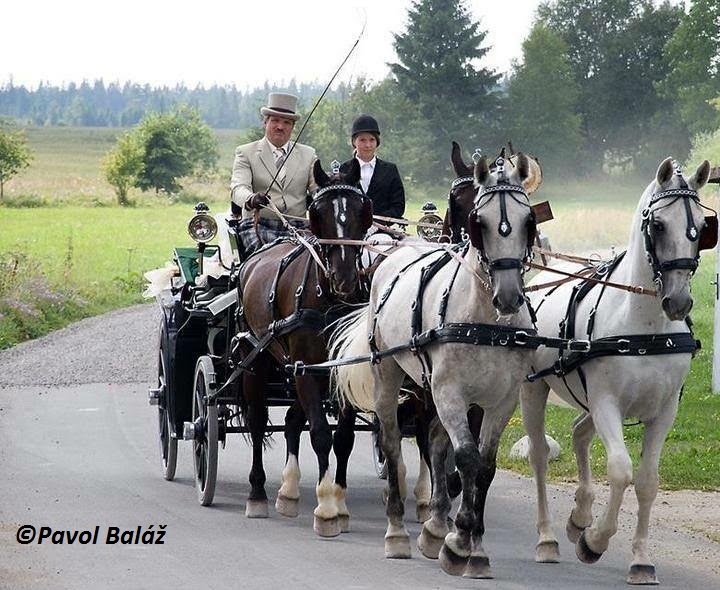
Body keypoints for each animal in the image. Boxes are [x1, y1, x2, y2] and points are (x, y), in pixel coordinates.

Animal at [236, 160, 372, 540]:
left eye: (363, 210)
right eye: (317, 213)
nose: (344, 279)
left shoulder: (341, 369)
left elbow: (343, 438)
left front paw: (340, 504)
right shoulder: (305, 369)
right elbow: (322, 434)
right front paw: (326, 509)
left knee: (293, 421)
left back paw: (288, 491)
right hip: (257, 358)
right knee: (257, 421)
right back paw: (257, 494)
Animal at [330, 154, 536, 584]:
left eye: (529, 221)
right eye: (479, 221)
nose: (508, 297)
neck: (485, 320)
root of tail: (392, 251)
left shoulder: (501, 400)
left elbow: (483, 466)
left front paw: (472, 545)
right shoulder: (450, 392)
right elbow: (467, 458)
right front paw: (459, 544)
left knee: (435, 443)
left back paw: (434, 523)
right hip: (390, 375)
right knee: (392, 441)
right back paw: (396, 531)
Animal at [516, 158, 716, 588]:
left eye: (701, 227)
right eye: (658, 225)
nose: (679, 301)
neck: (645, 326)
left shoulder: (664, 413)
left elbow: (647, 482)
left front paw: (639, 559)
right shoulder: (607, 403)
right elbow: (621, 471)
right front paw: (595, 541)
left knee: (578, 433)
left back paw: (578, 517)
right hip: (534, 391)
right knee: (539, 456)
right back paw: (548, 538)